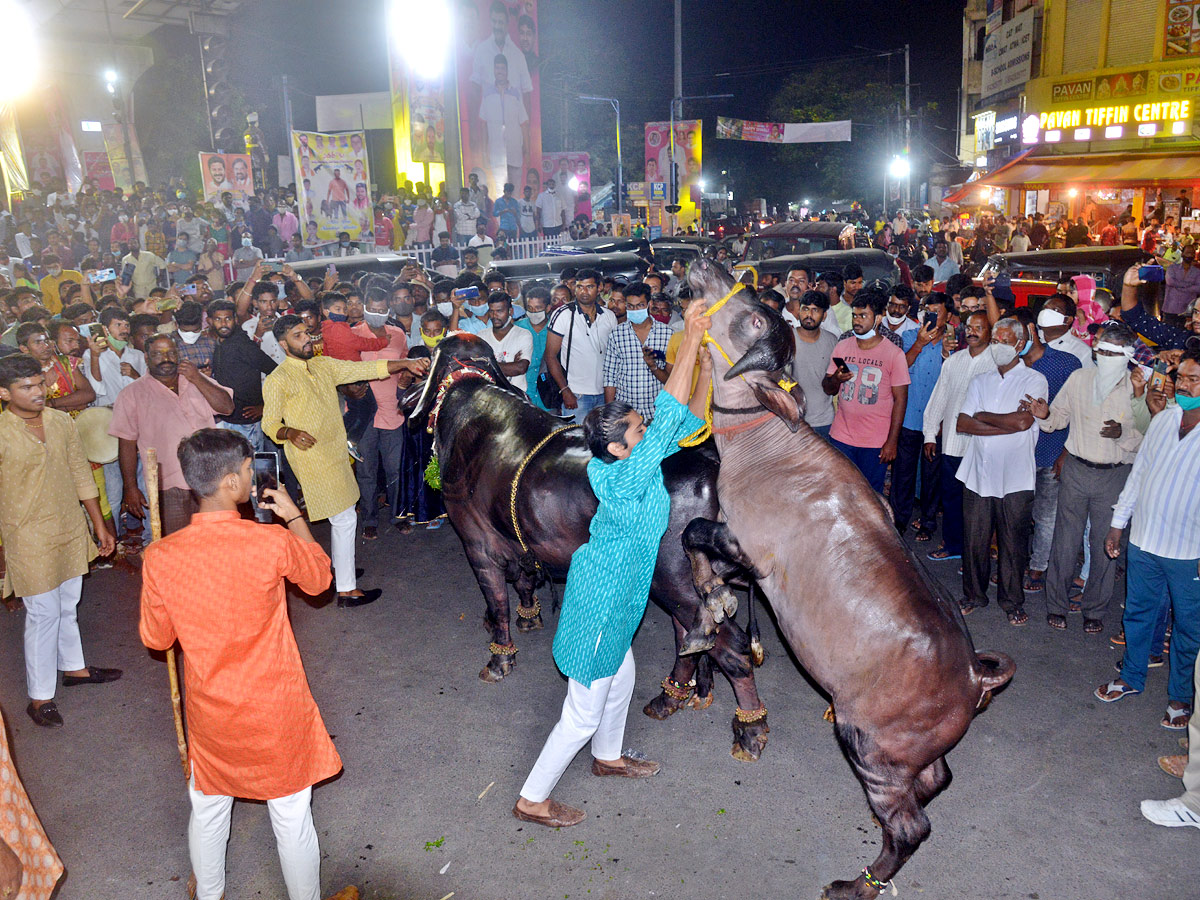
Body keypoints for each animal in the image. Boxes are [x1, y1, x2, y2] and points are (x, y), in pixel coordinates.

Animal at [400, 336, 768, 763]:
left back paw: (750, 729)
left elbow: (497, 601)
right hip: (679, 585)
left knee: (732, 646)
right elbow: (523, 581)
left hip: (677, 583)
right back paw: (672, 697)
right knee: (690, 639)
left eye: (426, 365)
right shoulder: (517, 541)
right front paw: (529, 617)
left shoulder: (477, 543)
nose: (405, 391)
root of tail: (713, 464)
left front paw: (499, 657)